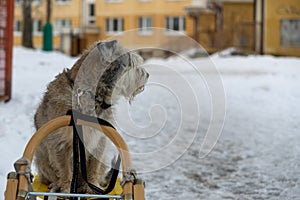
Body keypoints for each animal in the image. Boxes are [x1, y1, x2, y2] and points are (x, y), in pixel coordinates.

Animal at [33, 39, 149, 194]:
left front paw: (92, 186)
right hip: (41, 158)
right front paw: (66, 188)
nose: (147, 75)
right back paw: (57, 184)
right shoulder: (61, 142)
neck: (91, 96)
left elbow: (94, 165)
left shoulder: (100, 141)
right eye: (133, 64)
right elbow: (64, 168)